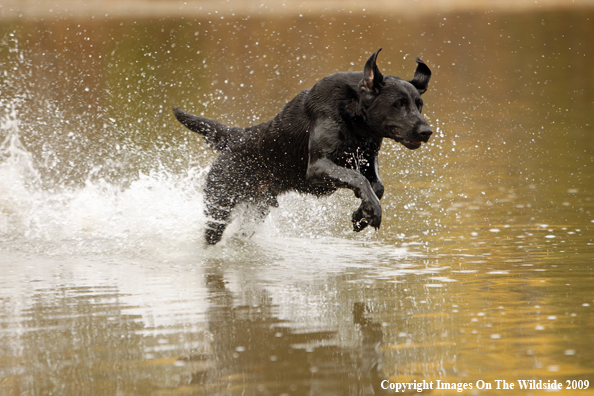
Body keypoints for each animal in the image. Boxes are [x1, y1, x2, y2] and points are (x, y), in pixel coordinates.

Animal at [172, 49, 430, 244]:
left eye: (419, 104)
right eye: (399, 104)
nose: (427, 131)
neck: (353, 119)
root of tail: (235, 136)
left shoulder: (367, 161)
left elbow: (376, 186)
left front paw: (361, 215)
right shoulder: (318, 166)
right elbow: (358, 180)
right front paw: (372, 212)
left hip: (257, 209)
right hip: (219, 206)